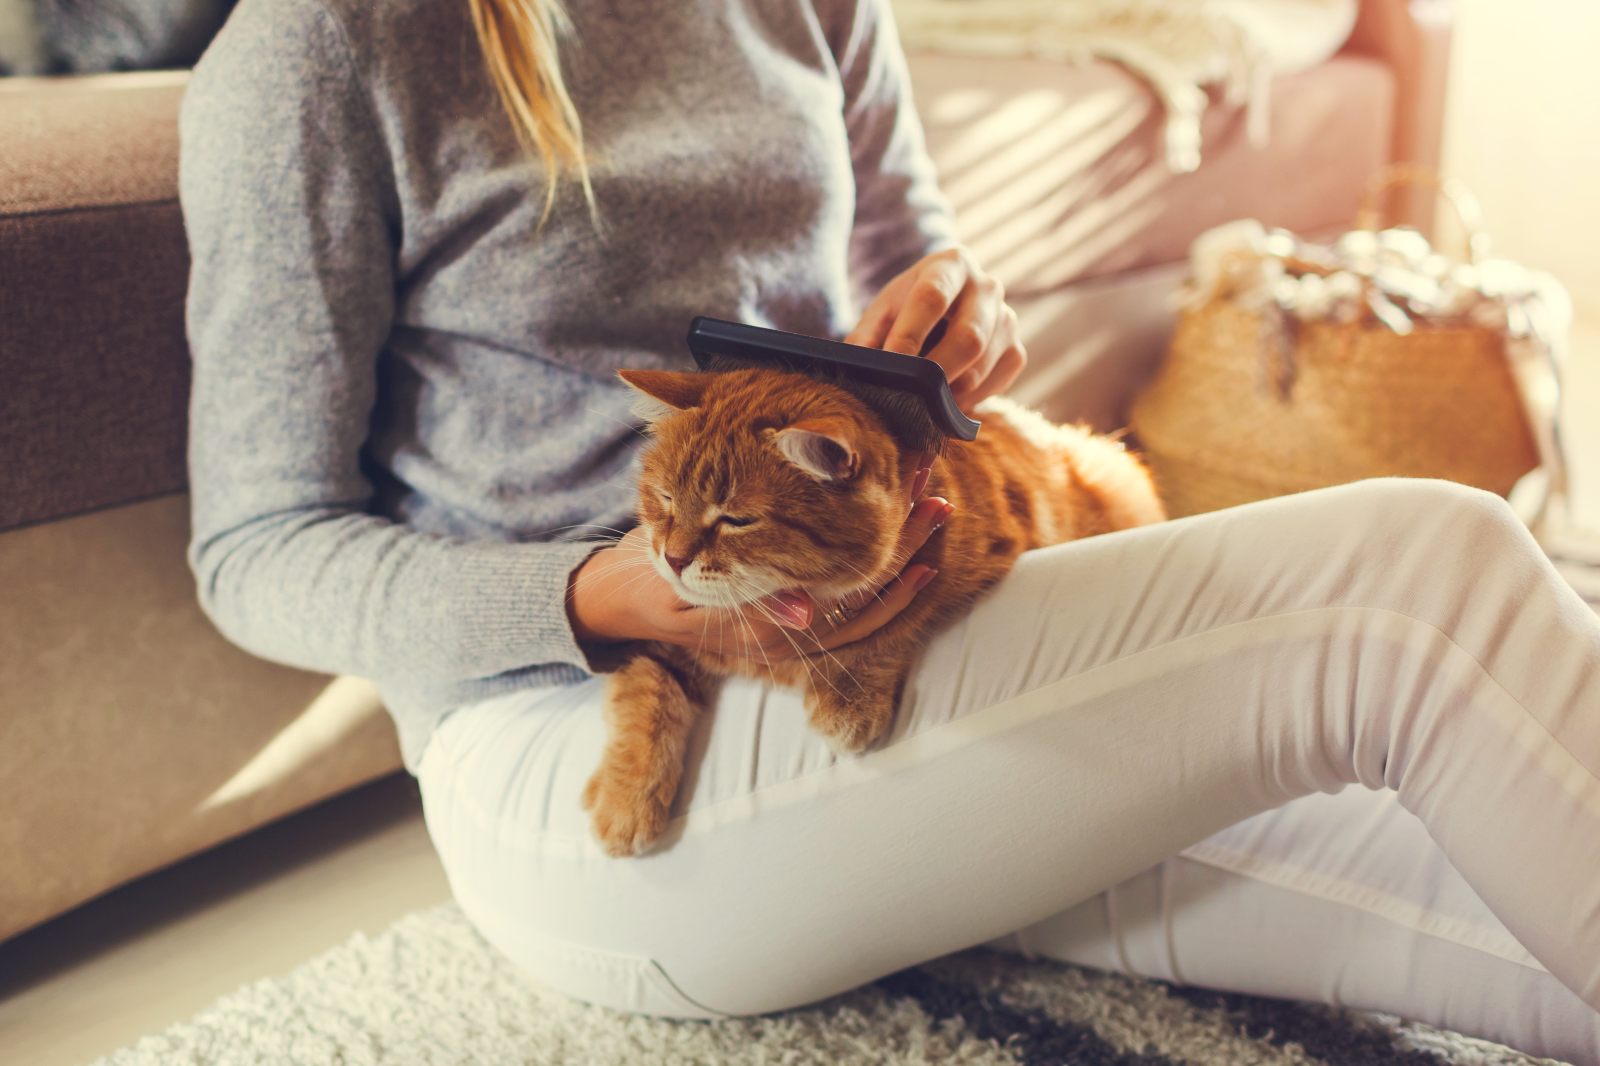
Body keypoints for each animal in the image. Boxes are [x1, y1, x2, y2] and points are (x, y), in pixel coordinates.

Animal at [585, 368, 1164, 857]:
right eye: (664, 498)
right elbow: (644, 699)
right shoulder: (654, 638)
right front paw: (624, 799)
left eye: (737, 519)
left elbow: (888, 625)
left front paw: (847, 696)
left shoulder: (955, 564)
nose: (673, 557)